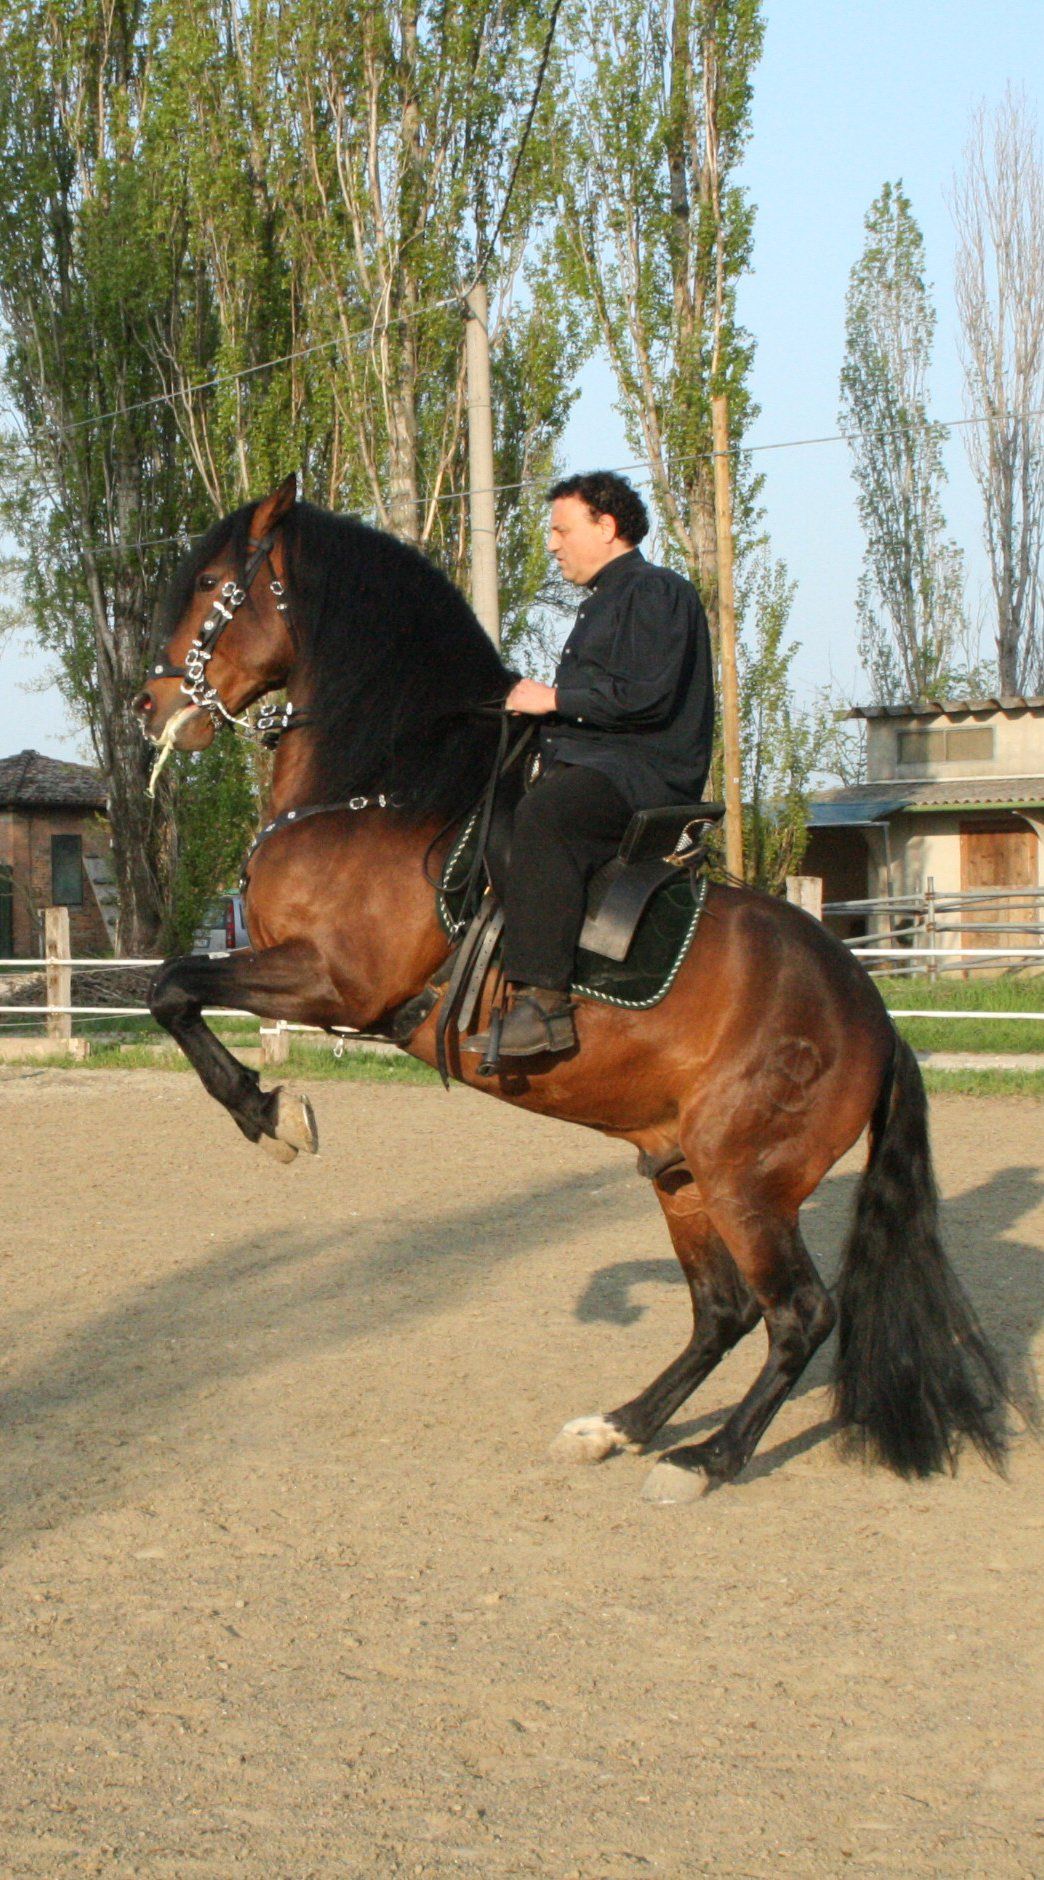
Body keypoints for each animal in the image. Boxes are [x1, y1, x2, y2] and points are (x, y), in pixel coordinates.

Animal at [133, 474, 1009, 1501]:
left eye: (214, 586)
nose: (149, 706)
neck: (383, 791)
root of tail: (871, 1017)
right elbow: (175, 989)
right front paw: (270, 1111)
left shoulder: (335, 983)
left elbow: (172, 988)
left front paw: (271, 1116)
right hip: (681, 1172)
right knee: (722, 1311)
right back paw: (620, 1426)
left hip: (745, 1179)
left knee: (799, 1314)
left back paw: (705, 1459)